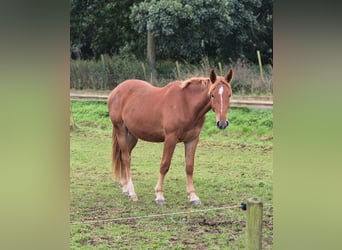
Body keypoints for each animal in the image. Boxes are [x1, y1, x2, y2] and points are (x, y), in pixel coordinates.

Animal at [108, 69, 234, 205]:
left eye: (229, 95)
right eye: (212, 95)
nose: (222, 123)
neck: (186, 105)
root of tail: (115, 91)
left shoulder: (192, 140)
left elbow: (189, 167)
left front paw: (193, 196)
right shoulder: (170, 139)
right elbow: (164, 165)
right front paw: (159, 196)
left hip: (132, 136)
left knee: (124, 157)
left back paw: (125, 188)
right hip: (121, 130)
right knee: (126, 158)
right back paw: (132, 192)